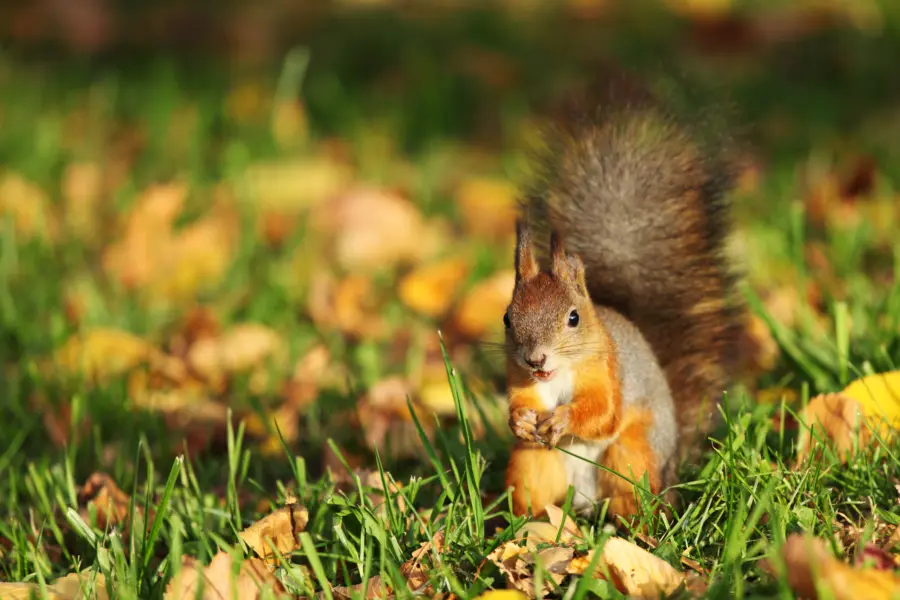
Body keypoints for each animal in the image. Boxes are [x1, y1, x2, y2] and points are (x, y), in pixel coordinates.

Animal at [502, 74, 745, 521]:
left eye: (574, 318)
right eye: (508, 318)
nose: (536, 359)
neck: (559, 374)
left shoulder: (610, 372)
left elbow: (603, 413)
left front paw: (563, 420)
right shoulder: (519, 379)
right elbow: (519, 404)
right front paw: (520, 421)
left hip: (632, 454)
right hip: (532, 465)